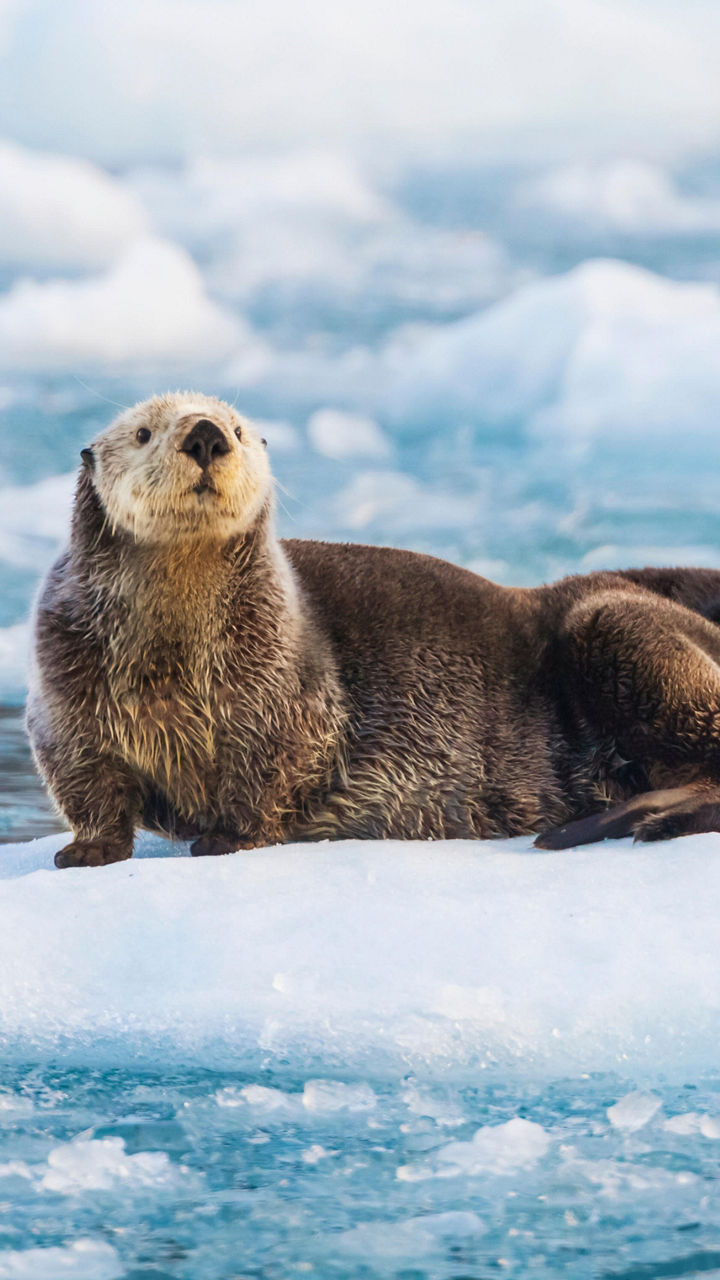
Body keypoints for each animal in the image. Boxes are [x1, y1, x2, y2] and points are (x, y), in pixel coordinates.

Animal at [27, 391, 720, 868]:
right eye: (144, 432)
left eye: (239, 429)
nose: (205, 435)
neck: (173, 655)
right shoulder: (64, 681)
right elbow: (82, 773)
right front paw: (87, 851)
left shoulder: (287, 680)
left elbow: (275, 763)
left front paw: (227, 837)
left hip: (616, 629)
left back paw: (614, 824)